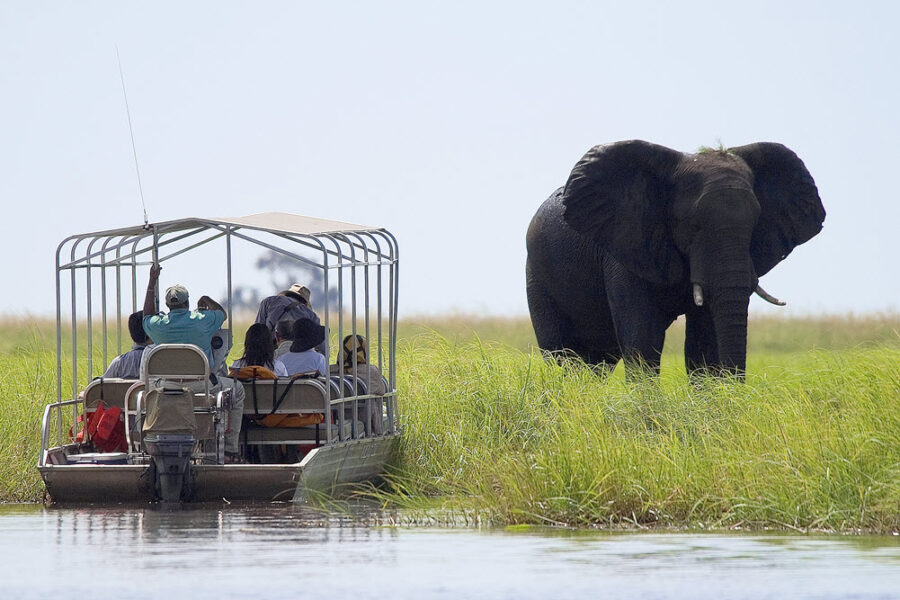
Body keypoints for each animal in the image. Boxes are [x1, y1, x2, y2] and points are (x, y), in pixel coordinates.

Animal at [525, 140, 825, 376]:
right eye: (692, 225)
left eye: (755, 224)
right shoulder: (624, 248)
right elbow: (643, 339)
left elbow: (703, 346)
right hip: (537, 277)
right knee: (562, 355)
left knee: (597, 363)